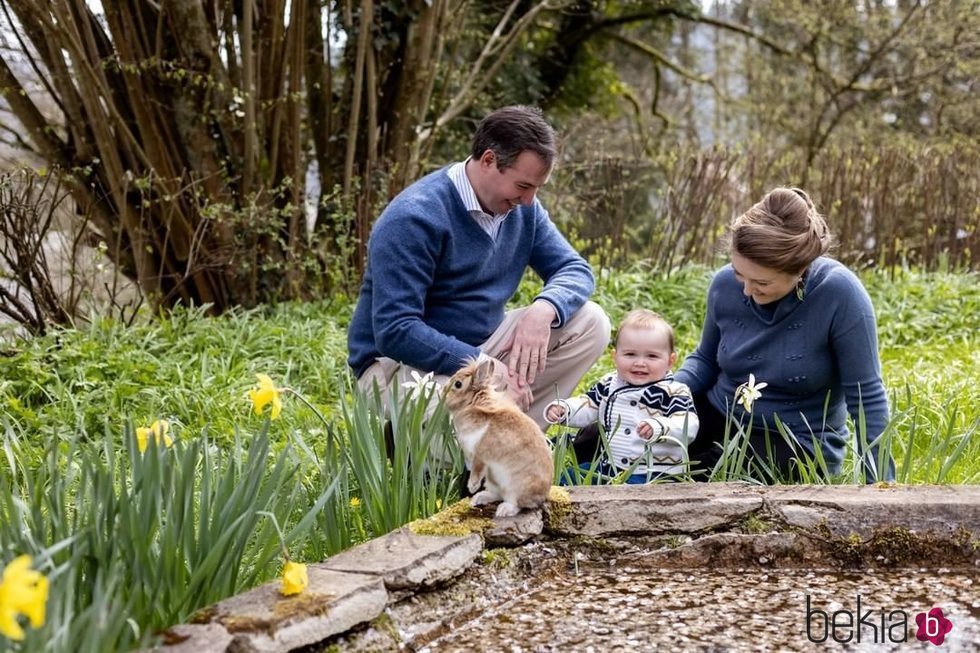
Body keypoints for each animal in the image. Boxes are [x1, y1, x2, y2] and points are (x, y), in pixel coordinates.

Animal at [442, 360, 552, 516]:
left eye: (458, 384)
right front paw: (473, 490)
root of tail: (542, 497)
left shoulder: (481, 454)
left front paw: (471, 486)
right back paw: (478, 499)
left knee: (516, 503)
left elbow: (477, 470)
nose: (442, 391)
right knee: (497, 494)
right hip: (493, 480)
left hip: (515, 487)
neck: (473, 404)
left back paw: (503, 510)